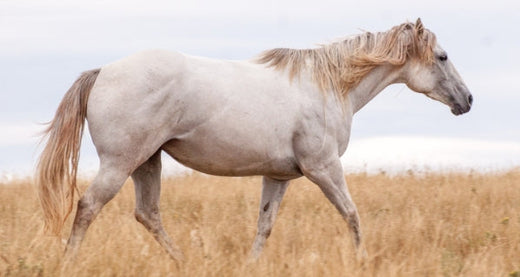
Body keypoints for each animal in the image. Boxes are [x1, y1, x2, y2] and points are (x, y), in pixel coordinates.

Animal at [36, 18, 474, 260]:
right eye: (442, 57)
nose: (467, 100)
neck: (330, 86)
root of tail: (102, 71)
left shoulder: (278, 177)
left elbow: (264, 226)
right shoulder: (323, 168)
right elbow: (352, 215)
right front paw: (363, 261)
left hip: (147, 161)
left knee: (148, 214)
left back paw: (185, 262)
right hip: (121, 163)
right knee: (88, 206)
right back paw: (69, 262)